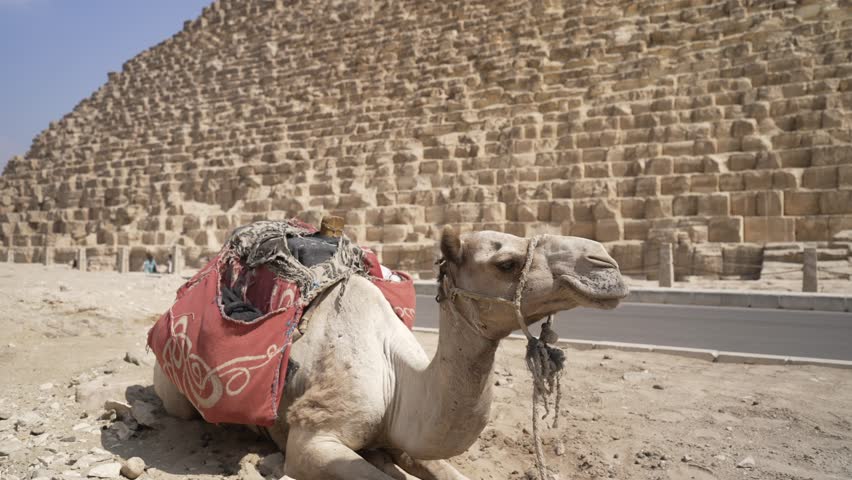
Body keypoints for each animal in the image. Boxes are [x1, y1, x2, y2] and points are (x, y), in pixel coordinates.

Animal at [153, 227, 628, 479]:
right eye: (506, 263)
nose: (606, 264)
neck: (398, 380)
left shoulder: (407, 436)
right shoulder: (312, 440)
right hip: (178, 395)